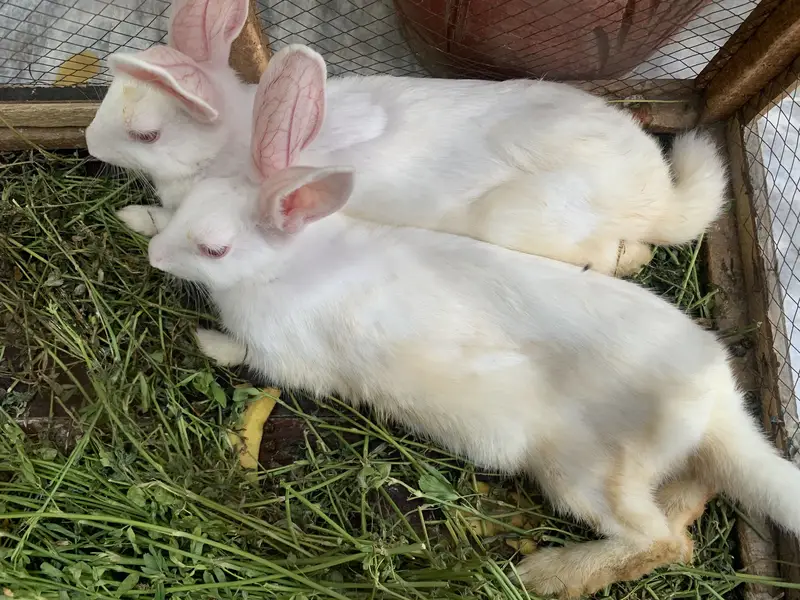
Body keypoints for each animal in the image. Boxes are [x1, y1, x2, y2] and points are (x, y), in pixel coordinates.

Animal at [88, 6, 726, 277]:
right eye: (110, 93)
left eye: (146, 134)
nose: (91, 145)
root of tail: (656, 199)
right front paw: (135, 217)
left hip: (525, 222)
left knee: (622, 255)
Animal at [145, 136, 799, 598]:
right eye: (185, 207)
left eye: (213, 249)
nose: (153, 257)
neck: (281, 266)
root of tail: (714, 405)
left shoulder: (280, 357)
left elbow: (242, 355)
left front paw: (203, 339)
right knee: (687, 508)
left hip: (584, 477)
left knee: (660, 543)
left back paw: (547, 575)